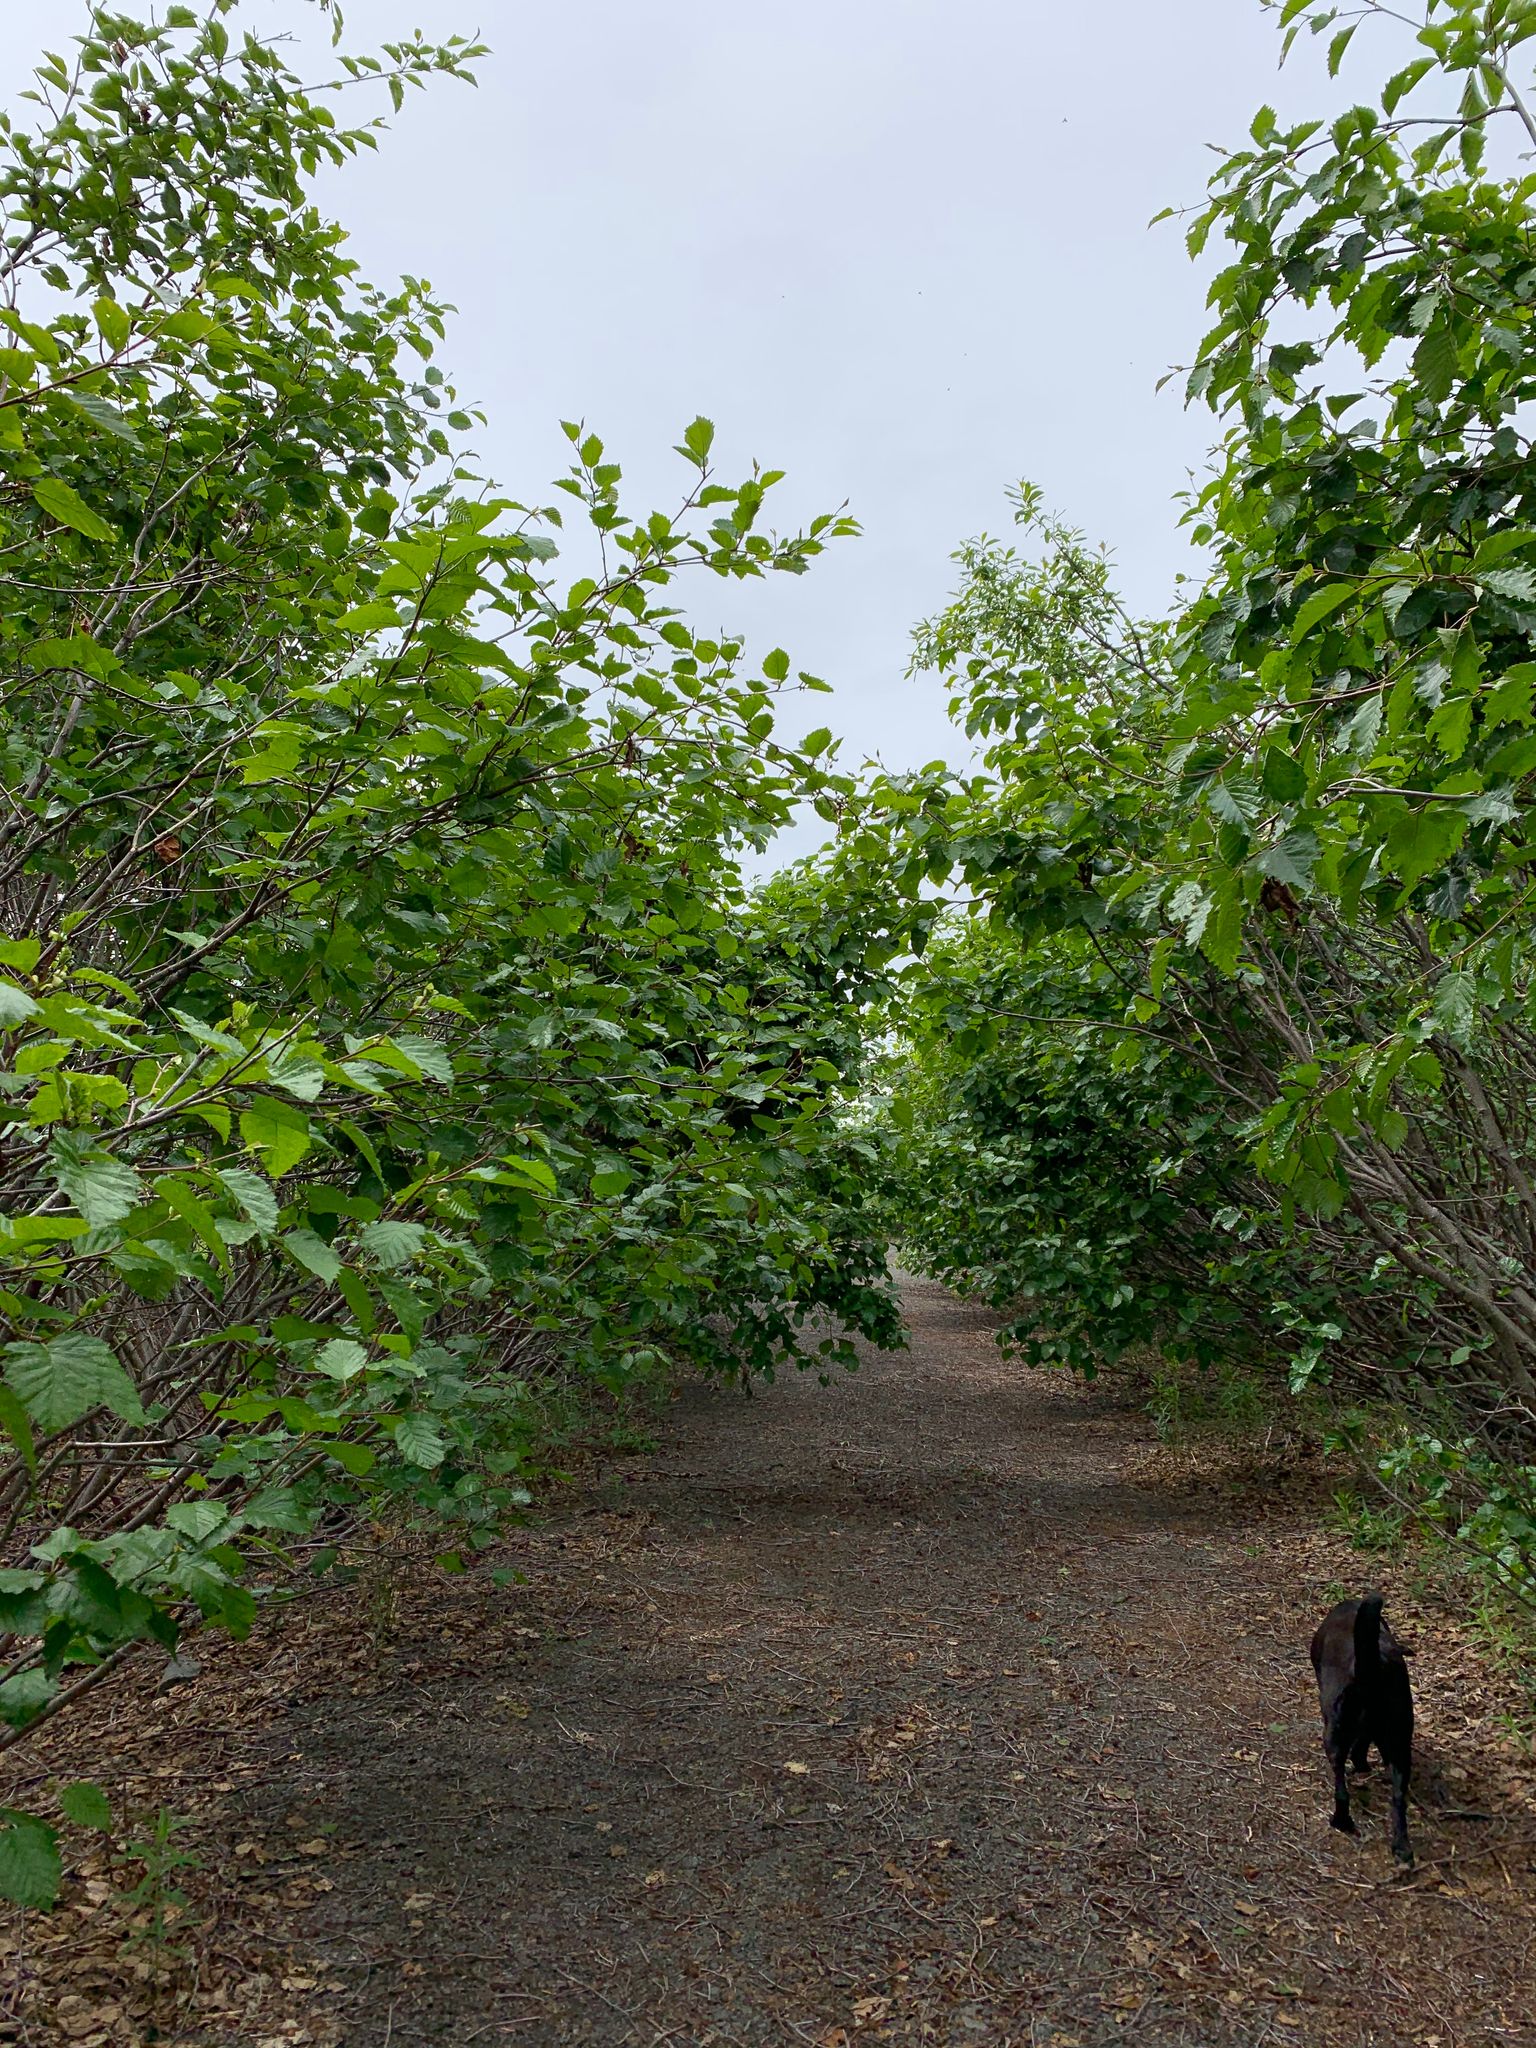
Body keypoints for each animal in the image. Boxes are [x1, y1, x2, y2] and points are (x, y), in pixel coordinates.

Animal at [1310, 1589, 1417, 1867]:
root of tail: (1371, 1667)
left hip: (1334, 1735)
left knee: (1341, 1788)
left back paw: (1341, 1821)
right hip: (1400, 1744)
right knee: (1398, 1800)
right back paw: (1401, 1847)